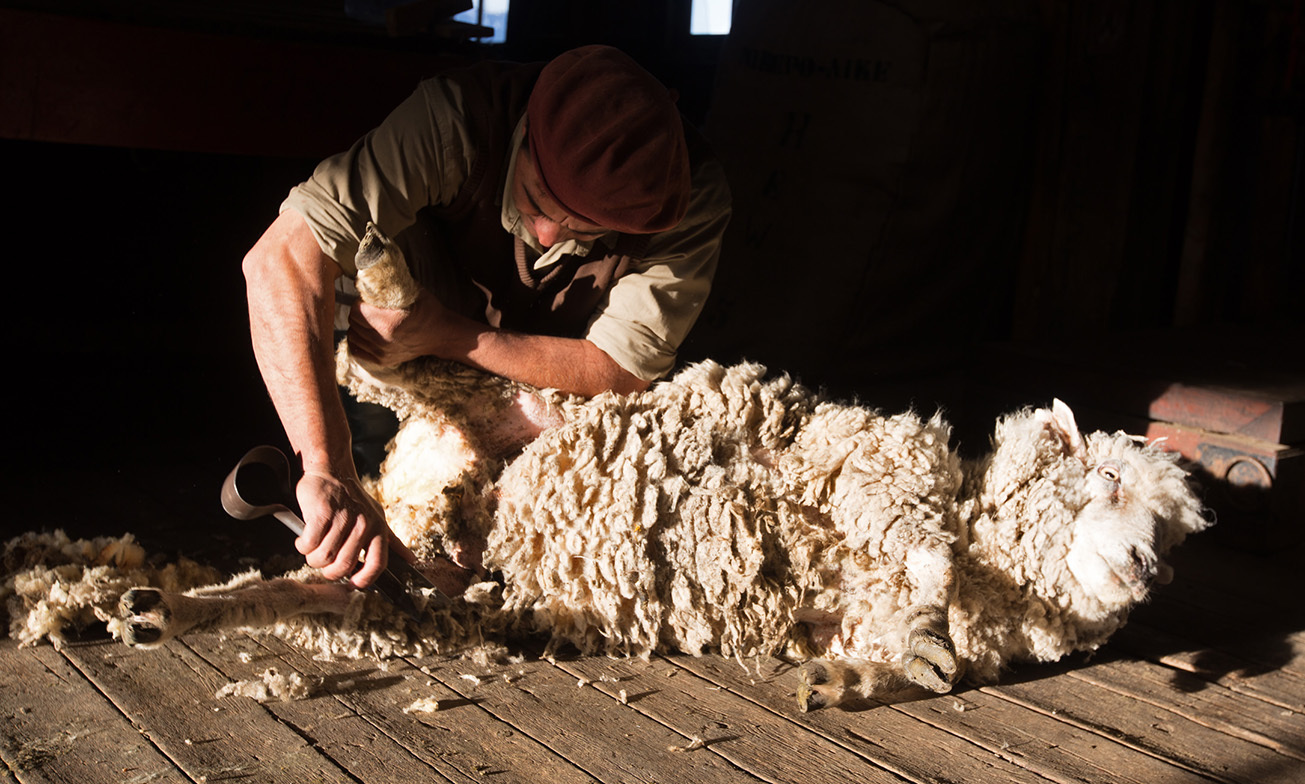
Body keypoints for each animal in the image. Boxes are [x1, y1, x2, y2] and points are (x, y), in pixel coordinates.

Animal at [2, 228, 1211, 709]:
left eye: (1174, 527)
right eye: (1107, 485)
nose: (1151, 566)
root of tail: (407, 483)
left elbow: (916, 658)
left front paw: (855, 678)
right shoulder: (868, 460)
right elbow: (911, 536)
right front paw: (918, 609)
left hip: (416, 578)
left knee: (308, 580)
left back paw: (159, 606)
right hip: (478, 388)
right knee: (384, 360)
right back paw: (379, 280)